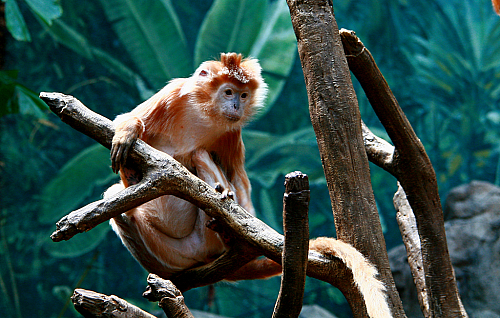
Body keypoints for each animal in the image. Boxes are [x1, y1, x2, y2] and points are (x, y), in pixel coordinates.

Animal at [107, 53, 392, 316]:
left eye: (243, 95)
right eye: (228, 92)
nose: (236, 105)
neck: (202, 112)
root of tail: (203, 258)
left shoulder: (231, 132)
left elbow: (239, 178)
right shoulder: (172, 93)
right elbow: (128, 121)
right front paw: (128, 132)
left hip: (201, 243)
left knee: (200, 155)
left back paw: (226, 227)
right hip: (168, 254)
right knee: (115, 192)